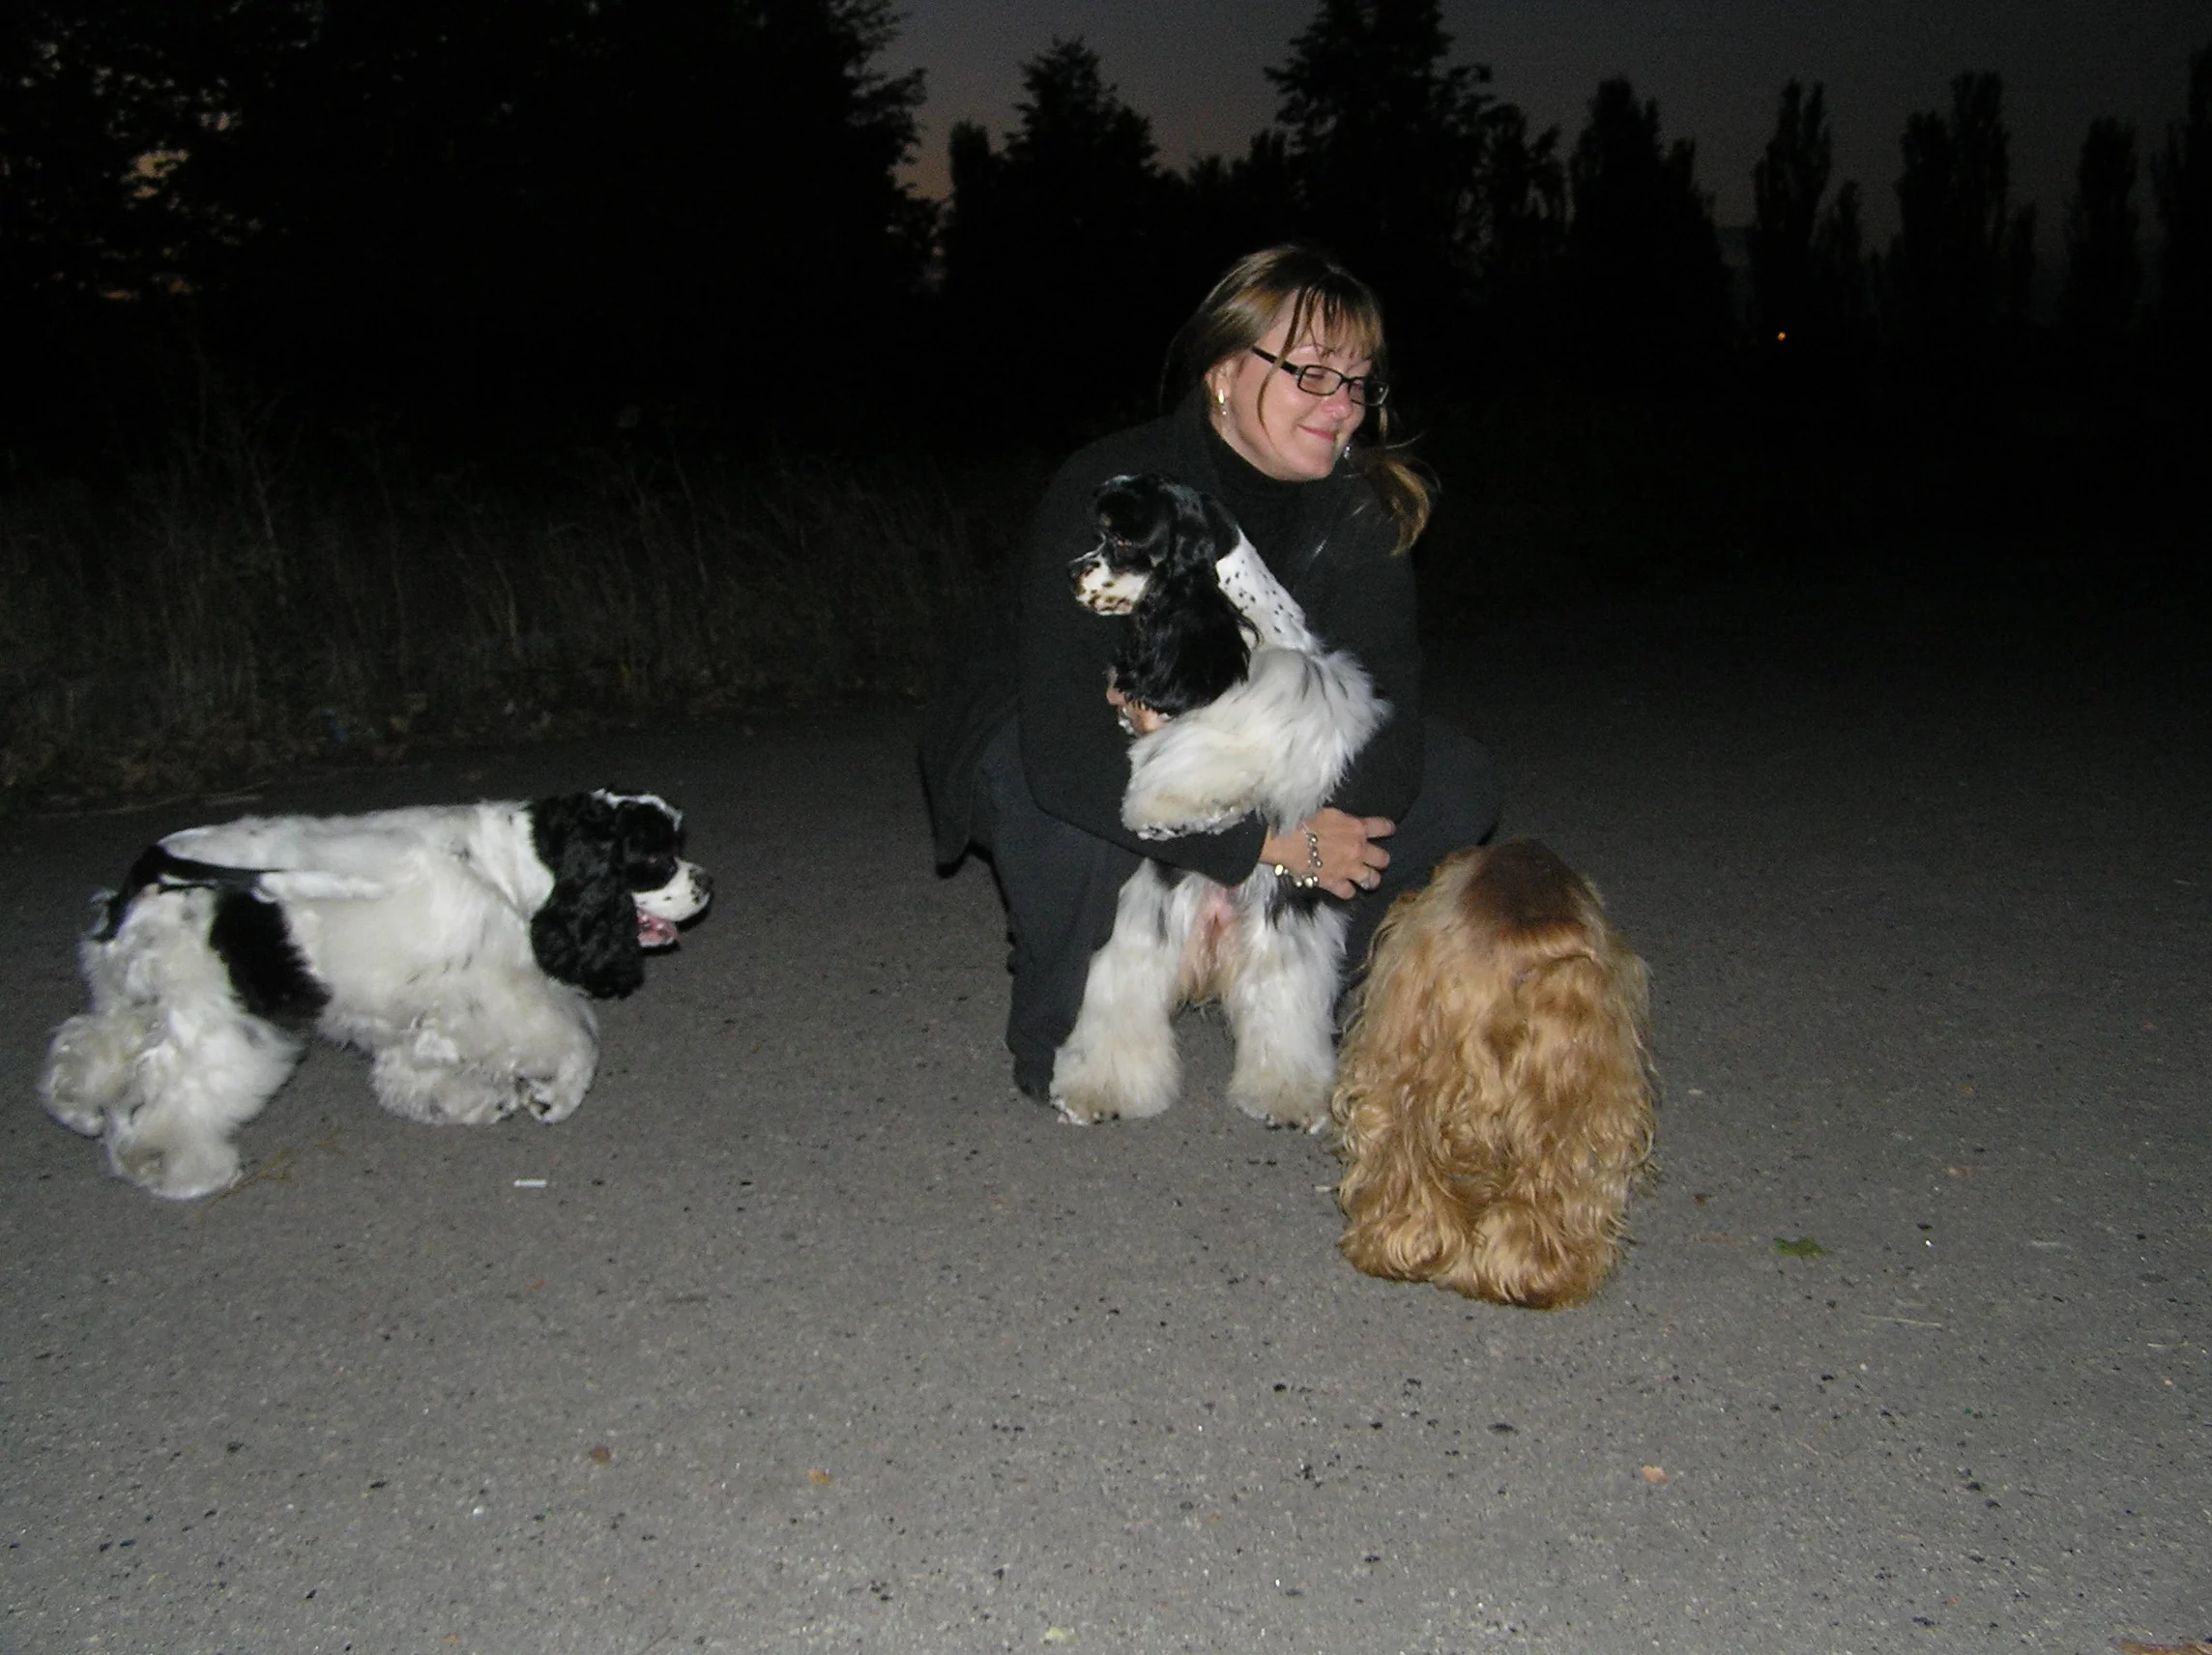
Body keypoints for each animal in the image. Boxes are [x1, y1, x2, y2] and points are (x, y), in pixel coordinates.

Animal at [38, 790, 710, 1199]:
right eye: (657, 856)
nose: (705, 881)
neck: (512, 868)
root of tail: (156, 864)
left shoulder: (418, 1006)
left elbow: (410, 1070)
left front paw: (457, 1101)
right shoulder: (495, 995)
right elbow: (575, 1037)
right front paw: (556, 1096)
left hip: (139, 988)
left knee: (89, 1042)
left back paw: (76, 1105)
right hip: (224, 1020)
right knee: (173, 1091)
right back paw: (173, 1165)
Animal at [1054, 474, 1384, 1129]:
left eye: (1121, 538)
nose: (1072, 572)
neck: (1232, 620)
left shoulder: (1304, 680)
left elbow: (1240, 729)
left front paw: (1163, 808)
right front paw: (1171, 809)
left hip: (1282, 940)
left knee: (1282, 1012)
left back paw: (1289, 1097)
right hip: (1143, 931)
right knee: (1123, 1005)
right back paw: (1099, 1090)